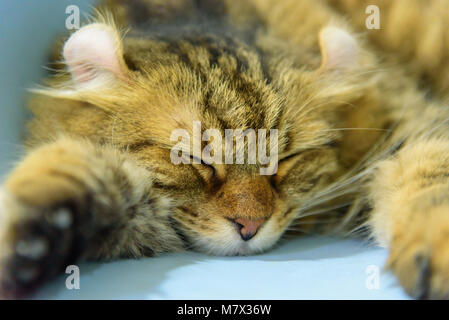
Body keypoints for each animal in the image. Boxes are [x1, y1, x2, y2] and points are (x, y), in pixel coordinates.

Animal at [0, 0, 448, 298]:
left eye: (284, 160)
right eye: (193, 160)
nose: (250, 226)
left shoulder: (411, 130)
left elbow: (430, 181)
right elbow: (74, 175)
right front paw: (26, 238)